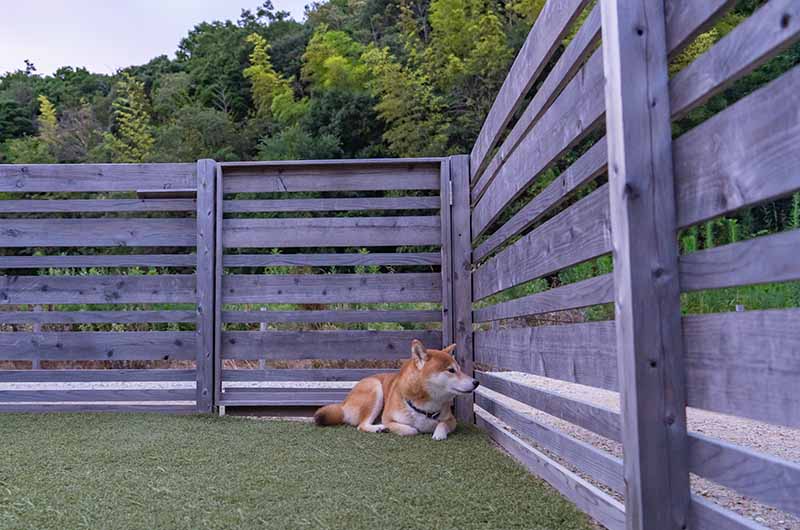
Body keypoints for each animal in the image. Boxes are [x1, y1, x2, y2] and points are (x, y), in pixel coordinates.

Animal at [312, 338, 478, 438]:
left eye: (460, 369)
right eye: (451, 370)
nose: (476, 382)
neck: (425, 406)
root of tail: (344, 403)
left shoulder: (451, 420)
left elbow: (442, 424)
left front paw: (438, 433)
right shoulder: (388, 419)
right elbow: (412, 429)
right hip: (375, 388)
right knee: (361, 425)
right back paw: (378, 428)